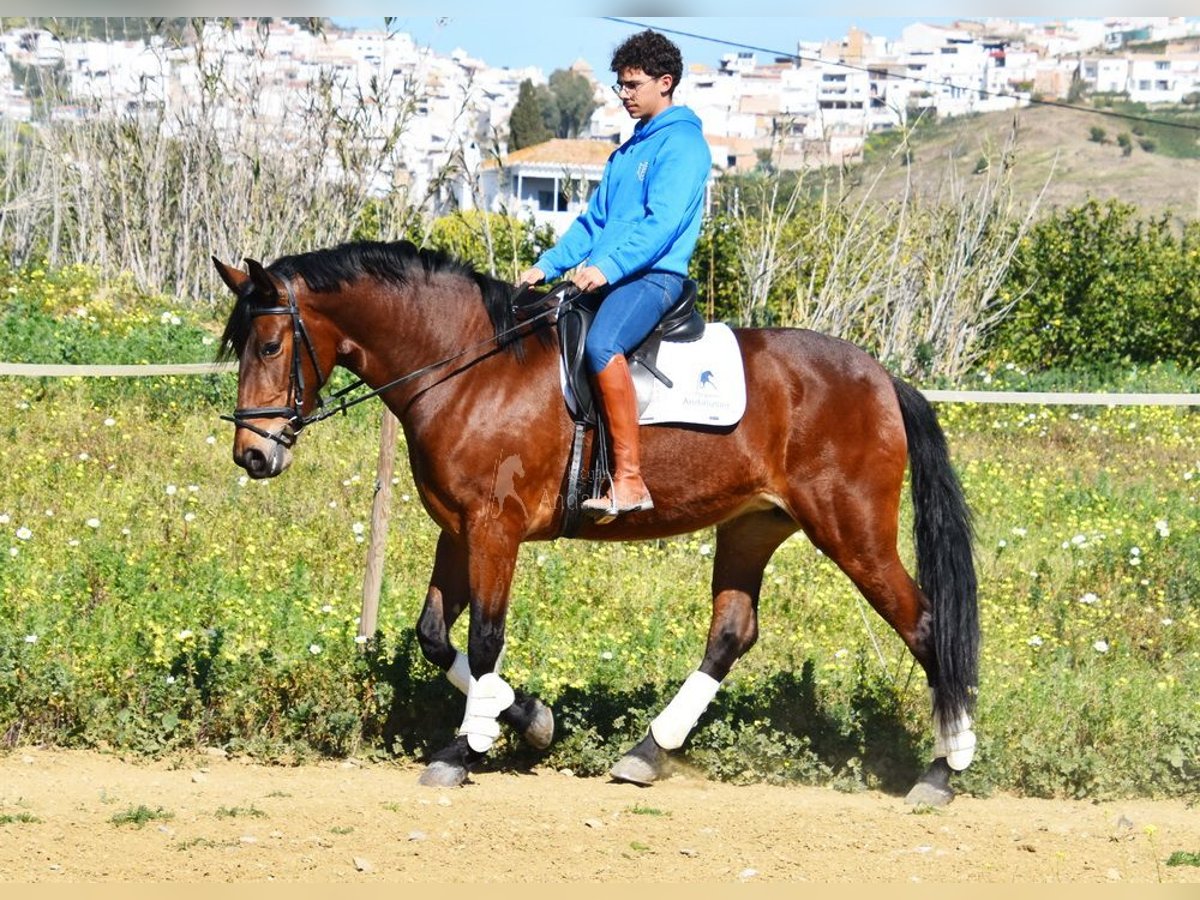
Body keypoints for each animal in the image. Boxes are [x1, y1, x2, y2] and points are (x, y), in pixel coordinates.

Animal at [216, 241, 979, 811]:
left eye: (272, 345)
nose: (252, 455)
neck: (468, 367)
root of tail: (882, 378)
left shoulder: (494, 529)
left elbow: (484, 639)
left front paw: (468, 748)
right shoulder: (457, 530)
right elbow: (435, 636)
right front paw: (528, 718)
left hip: (853, 532)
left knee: (925, 625)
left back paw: (944, 771)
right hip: (752, 527)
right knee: (732, 634)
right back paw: (647, 752)